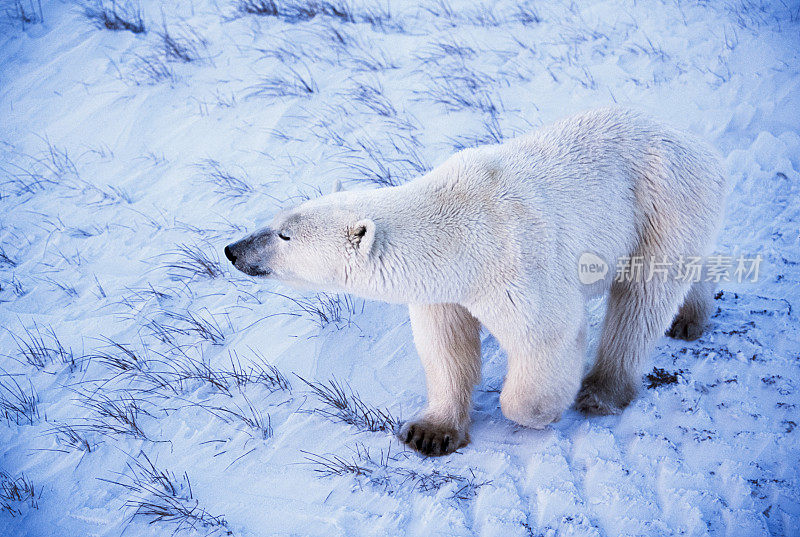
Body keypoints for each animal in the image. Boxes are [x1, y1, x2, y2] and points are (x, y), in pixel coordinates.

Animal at [223, 109, 724, 456]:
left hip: (661, 203)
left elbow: (548, 337)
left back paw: (602, 390)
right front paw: (430, 433)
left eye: (284, 235)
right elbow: (446, 347)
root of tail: (701, 146)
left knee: (642, 298)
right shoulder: (445, 290)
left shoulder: (516, 264)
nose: (233, 249)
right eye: (274, 221)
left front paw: (538, 412)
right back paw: (691, 316)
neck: (462, 228)